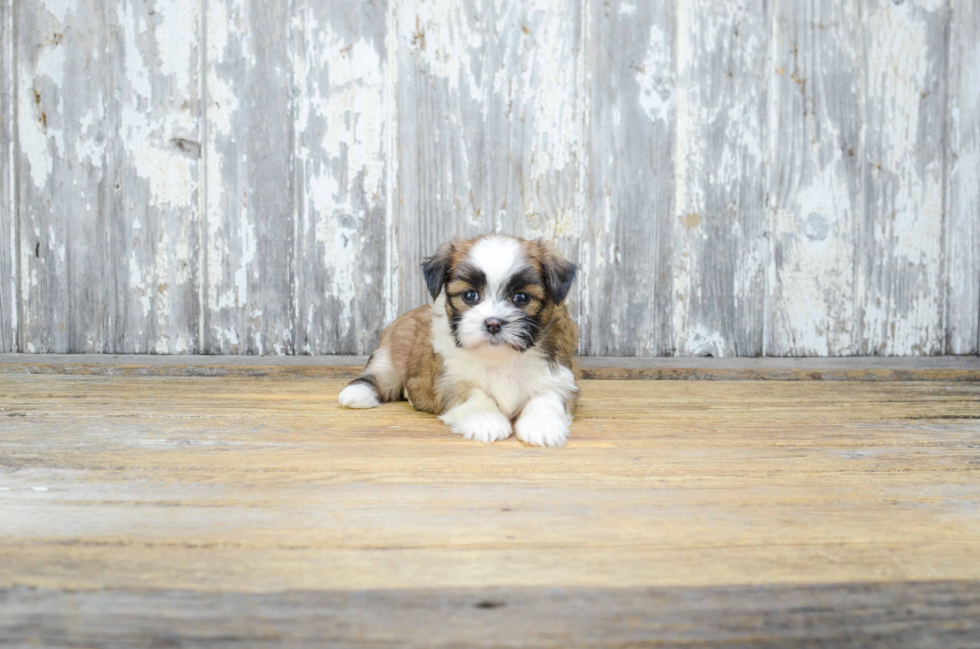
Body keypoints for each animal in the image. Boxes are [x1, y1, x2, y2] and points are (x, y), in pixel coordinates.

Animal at [340, 234, 580, 446]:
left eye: (521, 297)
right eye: (470, 296)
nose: (493, 323)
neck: (500, 357)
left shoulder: (559, 377)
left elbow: (547, 399)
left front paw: (542, 426)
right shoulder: (451, 379)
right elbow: (473, 395)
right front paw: (486, 420)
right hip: (391, 352)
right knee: (380, 375)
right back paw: (357, 393)